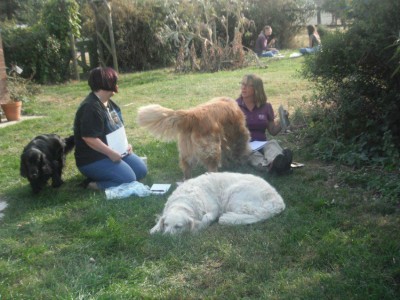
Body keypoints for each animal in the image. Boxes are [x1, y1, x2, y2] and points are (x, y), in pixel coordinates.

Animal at [149, 173, 284, 234]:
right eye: (166, 224)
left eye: (178, 226)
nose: (166, 236)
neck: (184, 200)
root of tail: (279, 202)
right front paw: (155, 229)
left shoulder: (214, 209)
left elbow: (206, 218)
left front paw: (201, 226)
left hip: (234, 195)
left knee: (255, 215)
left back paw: (228, 218)